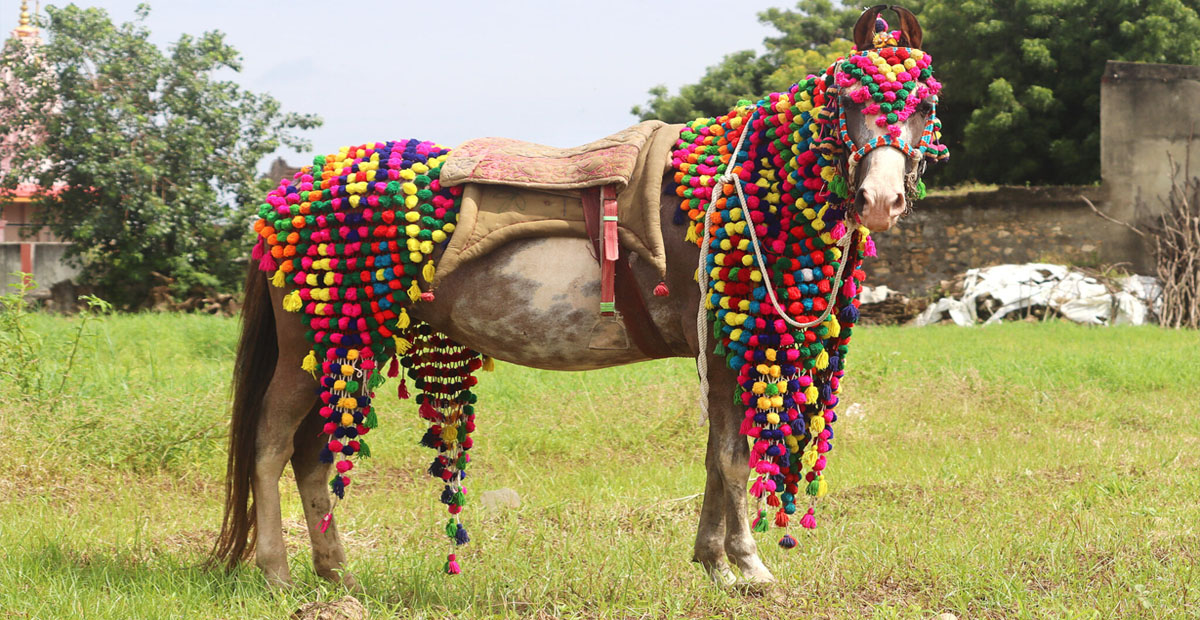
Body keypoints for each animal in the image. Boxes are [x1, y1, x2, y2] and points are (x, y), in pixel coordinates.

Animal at [213, 3, 945, 585]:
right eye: (846, 101)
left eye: (924, 105)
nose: (881, 200)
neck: (738, 188)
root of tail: (282, 199)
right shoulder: (729, 345)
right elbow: (733, 461)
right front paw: (747, 565)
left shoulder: (727, 351)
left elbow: (717, 458)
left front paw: (712, 561)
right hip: (310, 343)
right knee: (271, 446)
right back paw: (277, 571)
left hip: (350, 344)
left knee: (310, 455)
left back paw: (335, 570)